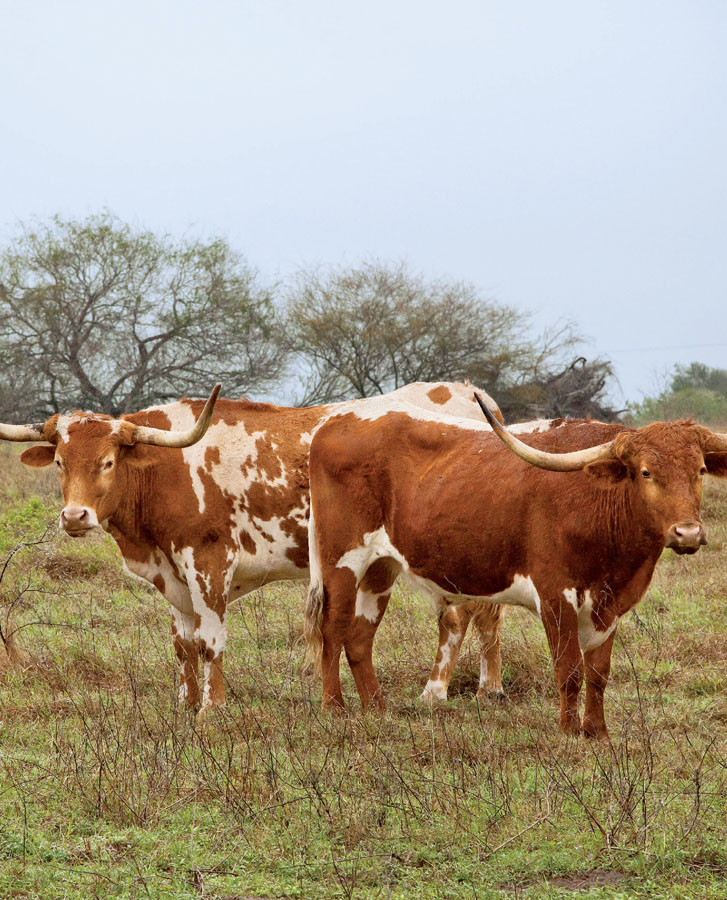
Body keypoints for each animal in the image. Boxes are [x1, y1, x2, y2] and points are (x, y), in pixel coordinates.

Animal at [306, 400, 727, 740]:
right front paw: (569, 732)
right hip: (341, 559)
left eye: (701, 470)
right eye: (645, 472)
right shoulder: (556, 594)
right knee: (334, 627)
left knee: (360, 637)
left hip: (382, 566)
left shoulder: (610, 604)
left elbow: (598, 672)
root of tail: (335, 420)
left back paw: (377, 708)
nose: (688, 532)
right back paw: (334, 708)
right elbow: (570, 670)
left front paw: (598, 732)